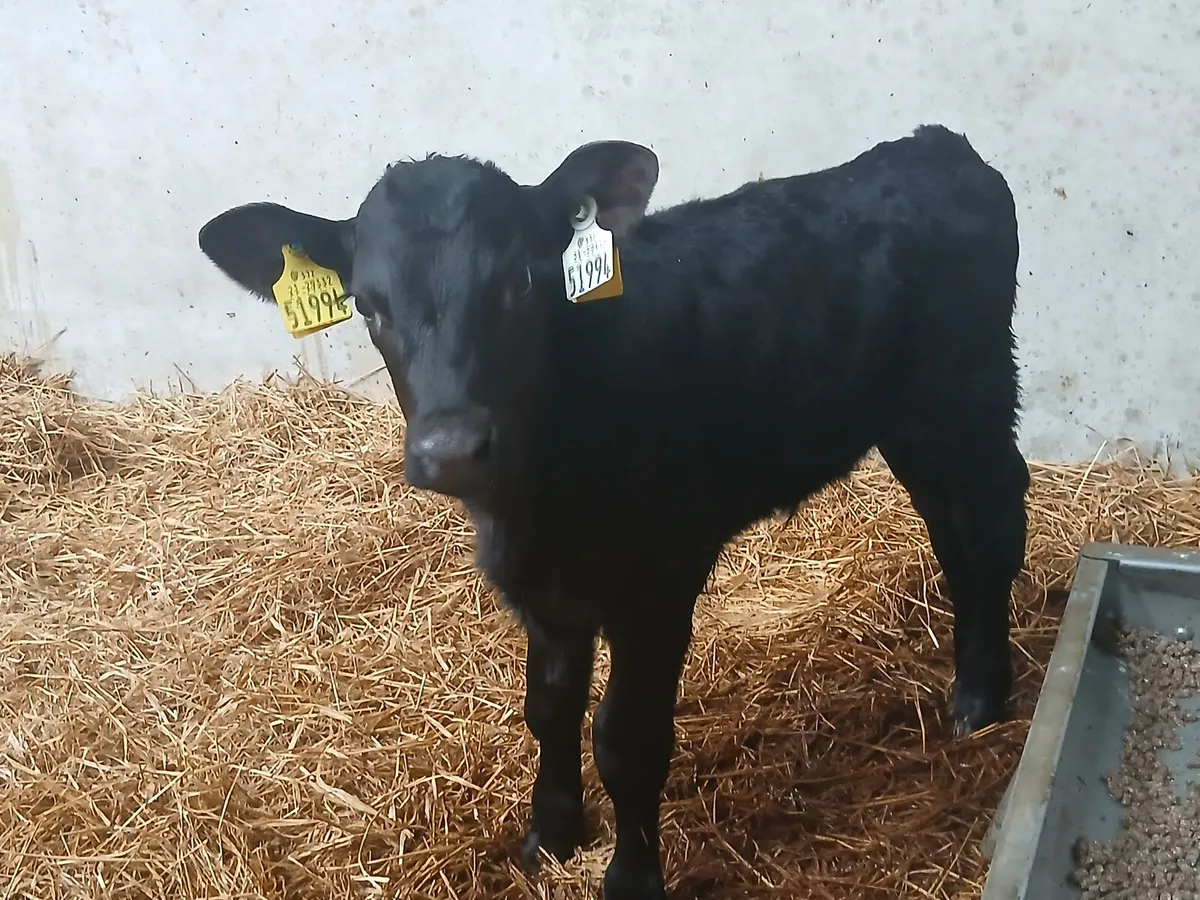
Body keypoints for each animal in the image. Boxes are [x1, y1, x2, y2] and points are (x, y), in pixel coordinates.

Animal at [197, 124, 1030, 900]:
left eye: (522, 280)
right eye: (368, 306)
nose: (452, 448)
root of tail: (932, 145)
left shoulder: (657, 583)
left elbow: (627, 739)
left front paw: (631, 877)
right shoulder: (543, 594)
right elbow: (548, 707)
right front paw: (552, 834)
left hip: (970, 391)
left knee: (994, 524)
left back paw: (983, 698)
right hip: (910, 422)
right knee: (952, 530)